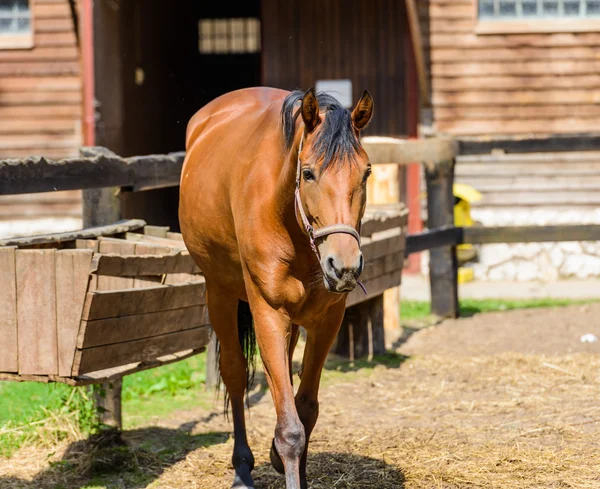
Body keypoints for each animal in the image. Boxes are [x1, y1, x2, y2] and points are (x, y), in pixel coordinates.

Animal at [180, 86, 372, 486]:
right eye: (309, 173)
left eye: (366, 172)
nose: (344, 265)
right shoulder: (268, 314)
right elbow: (291, 430)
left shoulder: (327, 319)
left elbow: (306, 410)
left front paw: (285, 462)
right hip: (219, 293)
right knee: (235, 376)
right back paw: (242, 469)